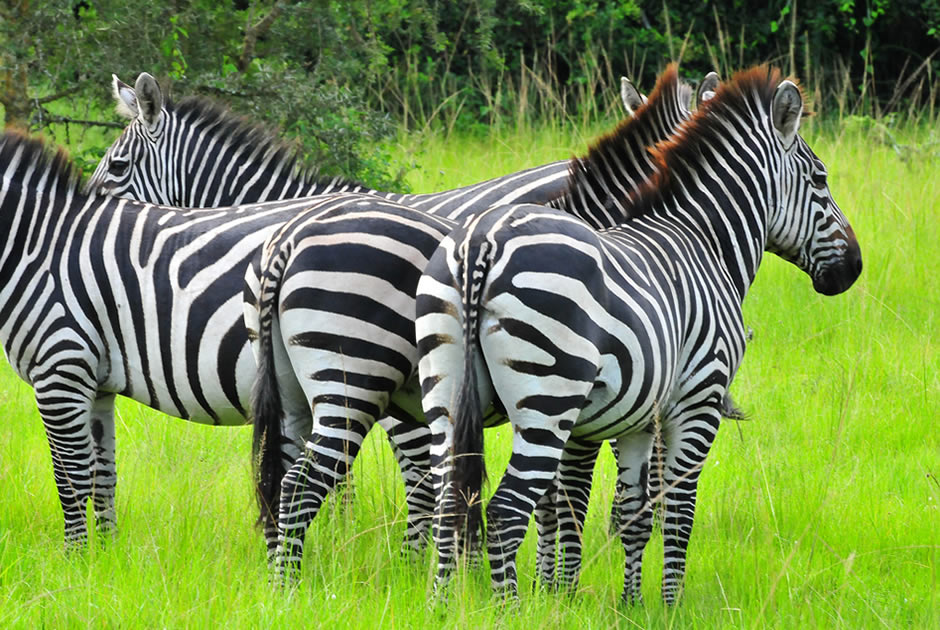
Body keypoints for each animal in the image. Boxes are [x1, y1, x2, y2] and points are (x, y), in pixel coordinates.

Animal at [414, 66, 864, 604]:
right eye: (820, 180)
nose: (854, 268)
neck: (703, 240)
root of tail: (481, 242)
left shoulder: (633, 416)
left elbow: (627, 512)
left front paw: (624, 603)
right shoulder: (697, 400)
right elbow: (674, 510)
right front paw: (664, 605)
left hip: (446, 390)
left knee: (450, 501)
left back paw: (441, 605)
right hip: (548, 398)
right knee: (504, 510)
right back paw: (510, 609)